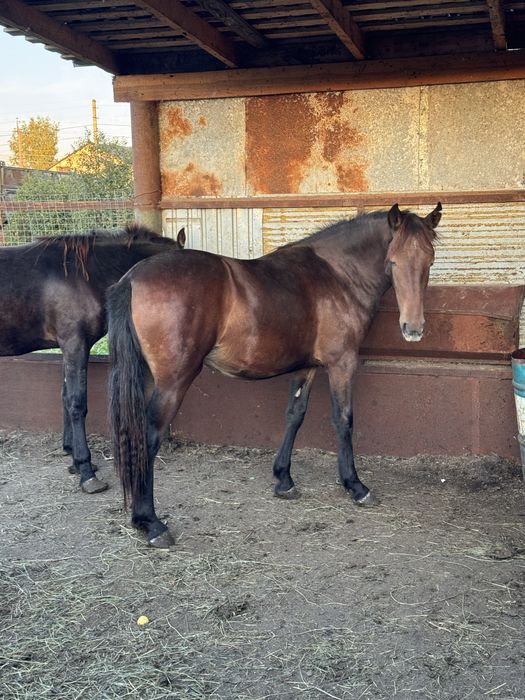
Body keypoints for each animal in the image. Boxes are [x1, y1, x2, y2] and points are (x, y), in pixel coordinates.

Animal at [0, 223, 185, 493]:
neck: (83, 275)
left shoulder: (69, 347)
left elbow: (65, 396)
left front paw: (72, 456)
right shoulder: (75, 343)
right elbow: (77, 402)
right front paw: (86, 470)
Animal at [108, 203, 441, 547]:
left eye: (429, 260)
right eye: (393, 260)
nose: (413, 328)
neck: (336, 275)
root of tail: (132, 278)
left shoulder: (307, 368)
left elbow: (294, 415)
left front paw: (284, 479)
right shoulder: (342, 364)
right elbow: (343, 420)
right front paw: (355, 485)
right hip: (172, 382)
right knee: (149, 436)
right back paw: (151, 523)